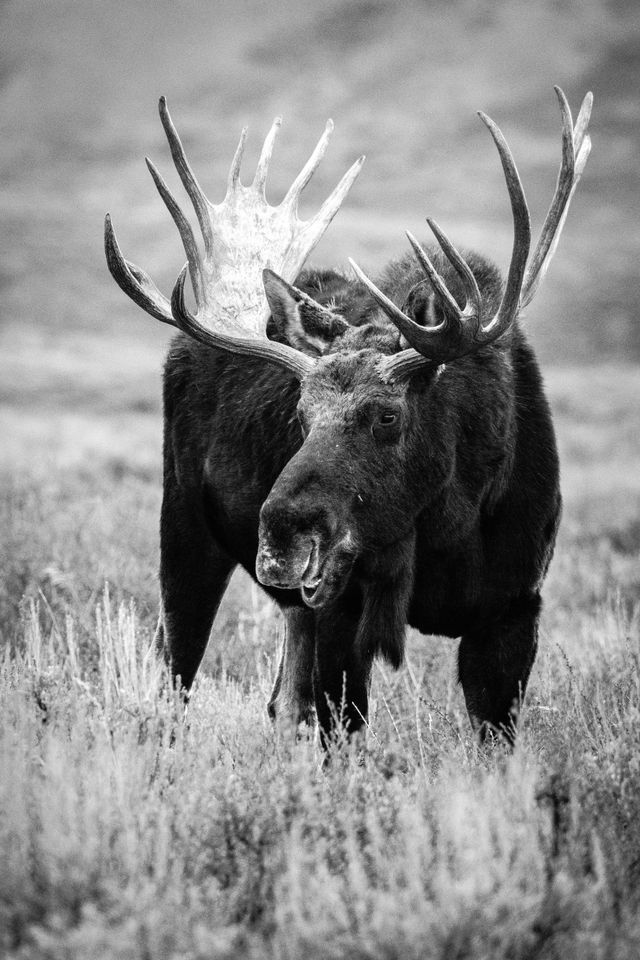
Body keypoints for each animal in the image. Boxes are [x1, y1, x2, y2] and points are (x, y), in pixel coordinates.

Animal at [104, 88, 592, 744]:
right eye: (301, 415)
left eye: (387, 416)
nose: (281, 534)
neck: (447, 523)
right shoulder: (342, 602)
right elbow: (342, 732)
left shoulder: (514, 607)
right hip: (183, 525)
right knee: (175, 671)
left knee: (281, 700)